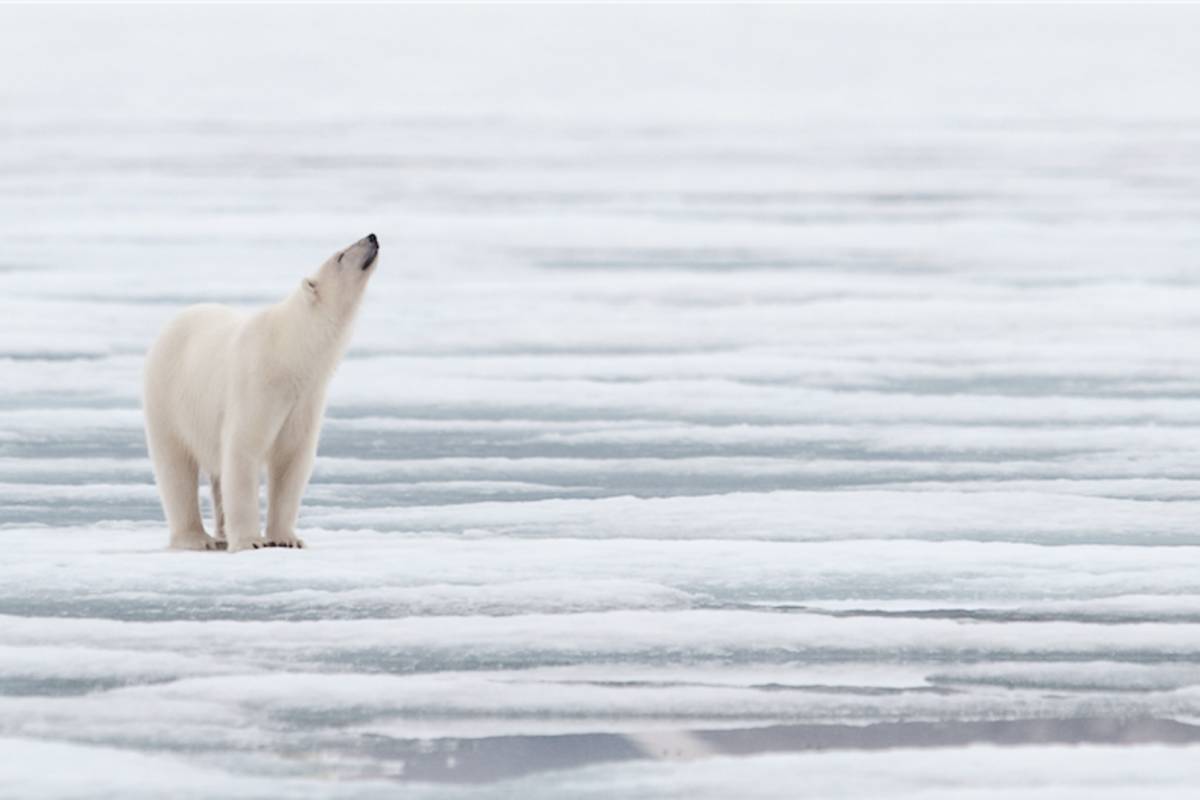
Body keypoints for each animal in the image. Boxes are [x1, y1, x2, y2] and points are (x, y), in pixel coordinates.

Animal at [143, 233, 379, 552]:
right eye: (340, 256)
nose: (371, 237)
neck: (289, 352)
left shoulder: (305, 398)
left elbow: (292, 459)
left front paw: (287, 539)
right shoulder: (258, 385)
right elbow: (243, 451)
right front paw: (251, 541)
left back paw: (221, 534)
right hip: (168, 397)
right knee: (176, 467)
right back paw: (197, 538)